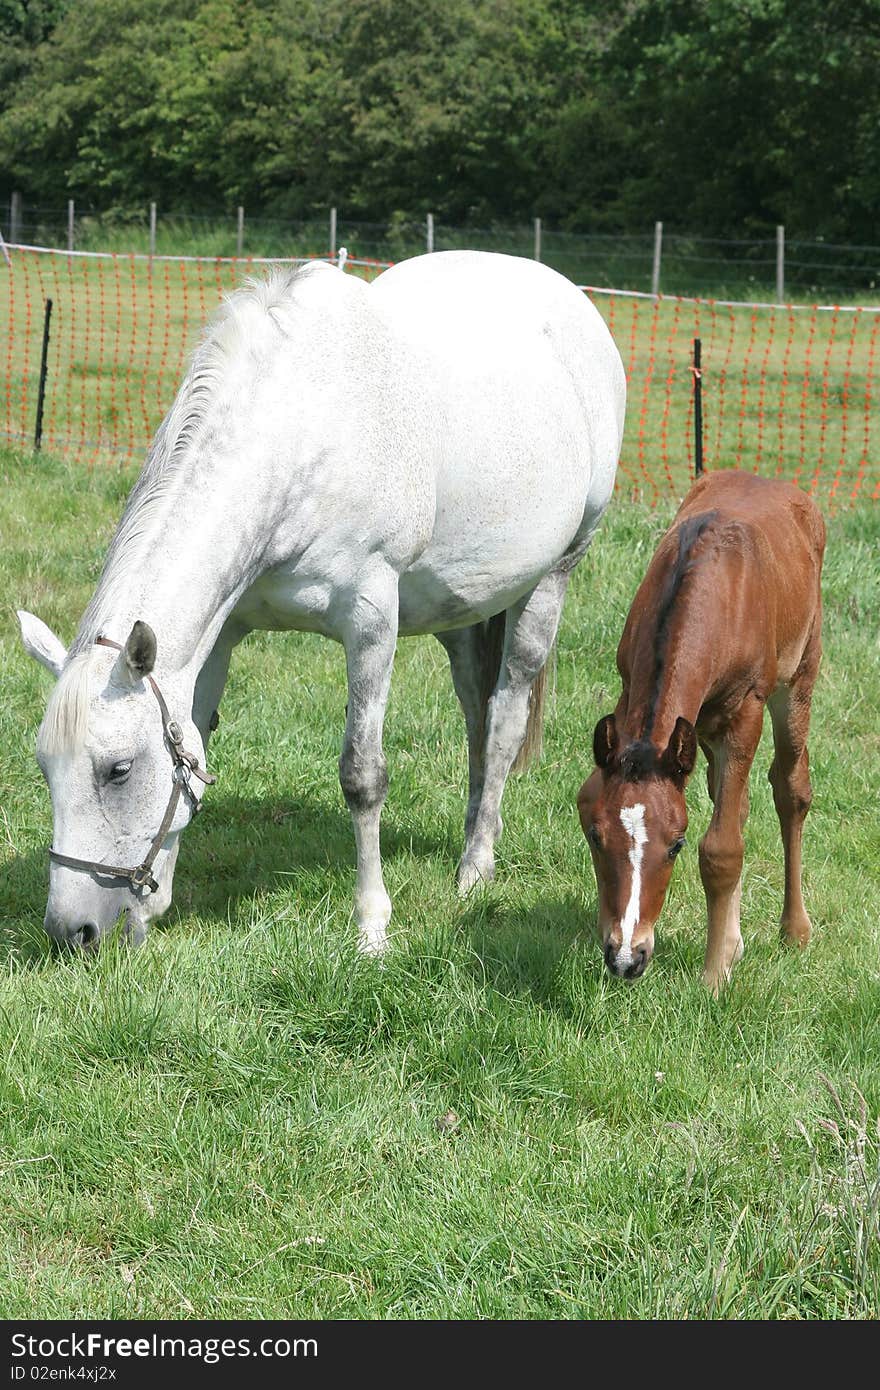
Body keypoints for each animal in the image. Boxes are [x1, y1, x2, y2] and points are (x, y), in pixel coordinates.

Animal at [17, 250, 620, 950]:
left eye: (117, 769)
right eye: (45, 768)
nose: (71, 930)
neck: (301, 429)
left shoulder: (371, 622)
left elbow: (363, 776)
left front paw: (372, 924)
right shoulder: (221, 634)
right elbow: (196, 739)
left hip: (552, 580)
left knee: (504, 721)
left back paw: (476, 866)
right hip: (461, 610)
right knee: (478, 711)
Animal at [575, 472, 823, 995]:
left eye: (676, 845)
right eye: (595, 836)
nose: (627, 958)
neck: (711, 585)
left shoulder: (746, 712)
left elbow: (722, 848)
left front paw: (712, 980)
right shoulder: (633, 695)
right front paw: (724, 953)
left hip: (798, 678)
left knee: (790, 788)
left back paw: (794, 930)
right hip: (699, 734)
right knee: (737, 801)